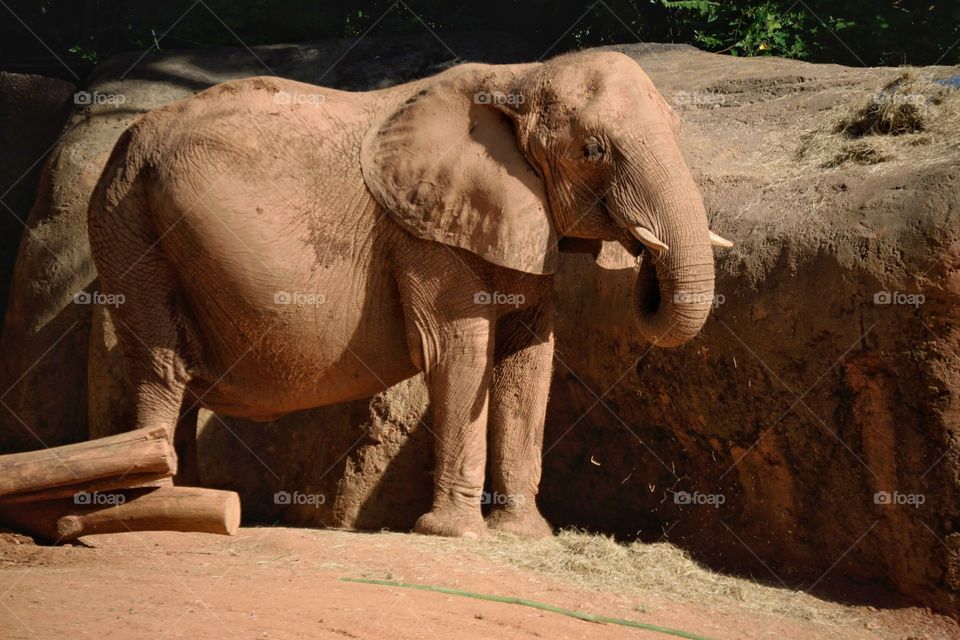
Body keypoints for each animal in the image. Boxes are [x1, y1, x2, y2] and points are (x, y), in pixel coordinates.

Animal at [87, 50, 731, 539]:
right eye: (592, 150)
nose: (642, 249)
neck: (520, 77)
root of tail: (123, 141)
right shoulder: (426, 232)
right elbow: (458, 354)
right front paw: (455, 535)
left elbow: (529, 361)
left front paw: (526, 536)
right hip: (128, 222)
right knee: (163, 369)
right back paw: (155, 507)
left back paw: (186, 504)